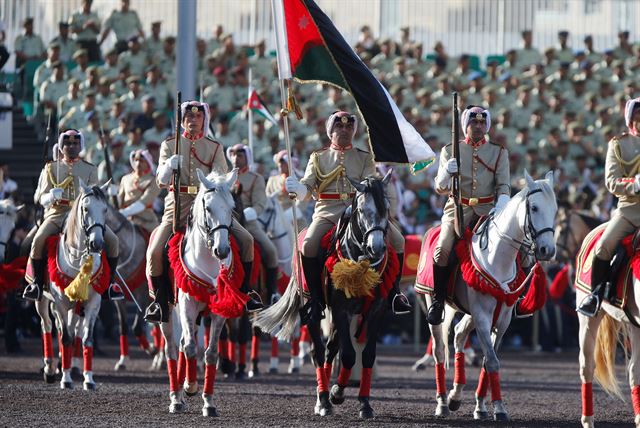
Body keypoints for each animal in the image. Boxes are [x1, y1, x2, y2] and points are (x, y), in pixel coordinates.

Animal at [37, 182, 111, 390]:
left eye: (105, 209)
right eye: (85, 209)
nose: (97, 243)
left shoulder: (93, 302)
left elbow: (86, 339)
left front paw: (89, 379)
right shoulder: (61, 302)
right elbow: (66, 338)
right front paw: (66, 379)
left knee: (69, 328)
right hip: (42, 301)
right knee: (47, 326)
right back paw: (49, 369)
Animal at [158, 169, 242, 416]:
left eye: (231, 207)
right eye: (208, 208)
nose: (222, 250)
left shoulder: (219, 310)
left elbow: (211, 352)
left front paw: (208, 402)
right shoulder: (187, 304)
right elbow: (190, 348)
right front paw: (190, 387)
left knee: (183, 343)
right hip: (167, 312)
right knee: (173, 348)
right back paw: (176, 396)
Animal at [255, 170, 396, 418]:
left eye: (386, 208)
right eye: (362, 210)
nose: (376, 248)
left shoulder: (375, 310)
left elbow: (366, 355)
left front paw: (364, 403)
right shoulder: (340, 309)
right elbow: (348, 355)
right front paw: (336, 393)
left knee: (331, 349)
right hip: (314, 309)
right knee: (319, 352)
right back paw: (323, 399)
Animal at [422, 171, 556, 422]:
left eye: (555, 208)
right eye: (533, 208)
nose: (548, 250)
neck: (497, 257)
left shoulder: (502, 319)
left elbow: (487, 360)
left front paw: (483, 406)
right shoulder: (483, 316)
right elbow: (492, 361)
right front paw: (499, 409)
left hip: (469, 313)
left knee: (458, 334)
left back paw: (456, 395)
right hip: (434, 302)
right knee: (439, 351)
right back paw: (443, 402)